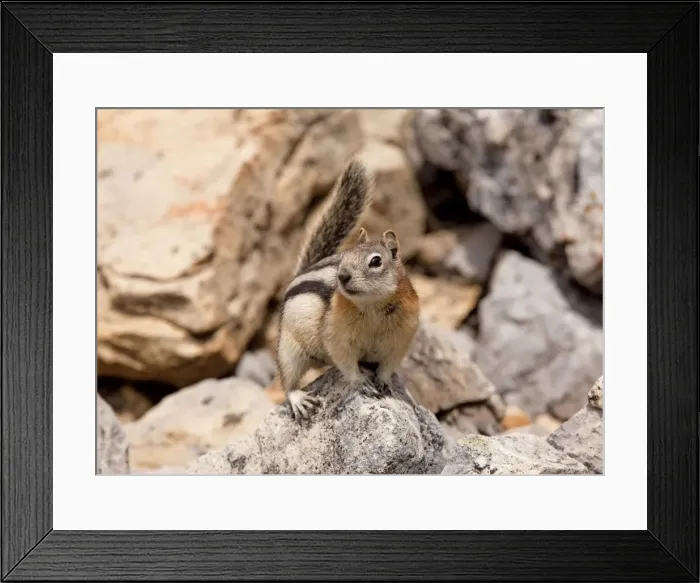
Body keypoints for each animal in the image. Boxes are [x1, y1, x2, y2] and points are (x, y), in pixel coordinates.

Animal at [276, 159, 420, 420]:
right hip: (288, 347)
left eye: (376, 261)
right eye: (345, 256)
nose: (342, 276)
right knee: (288, 379)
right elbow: (346, 362)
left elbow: (389, 364)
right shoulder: (337, 337)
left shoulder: (401, 338)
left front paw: (384, 381)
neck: (372, 306)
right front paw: (361, 382)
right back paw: (299, 400)